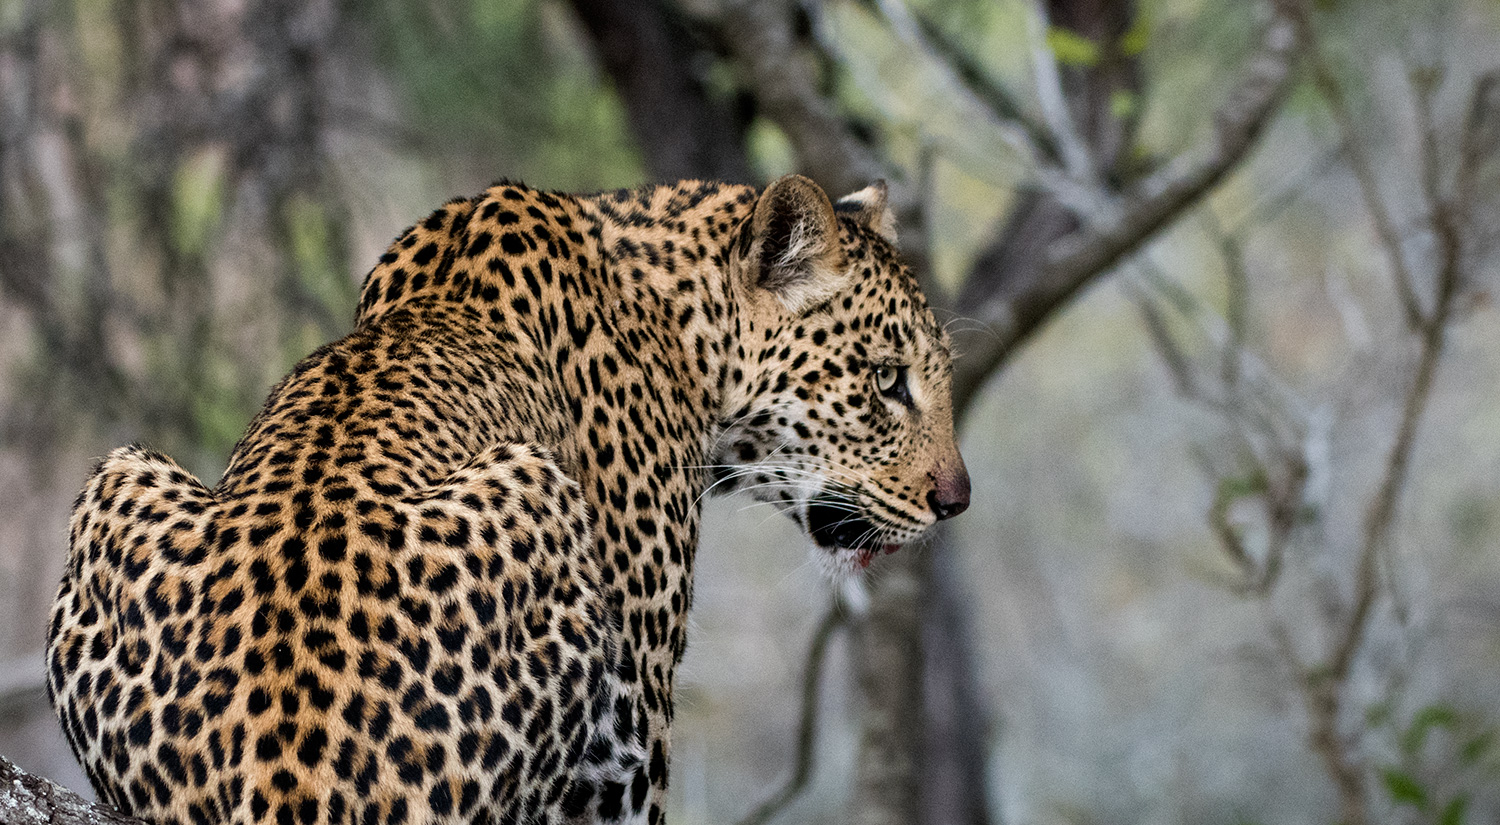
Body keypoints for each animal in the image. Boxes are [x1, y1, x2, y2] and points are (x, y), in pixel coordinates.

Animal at [45, 174, 970, 825]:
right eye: (887, 380)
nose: (957, 499)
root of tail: (287, 781)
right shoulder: (628, 744)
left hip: (117, 473)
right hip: (535, 483)